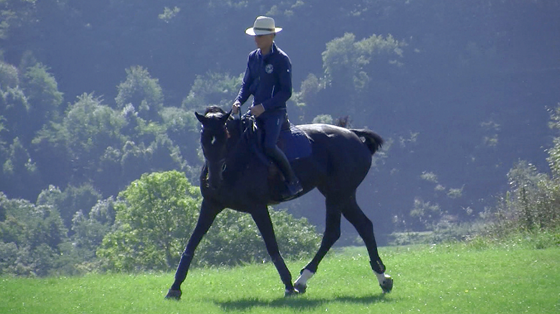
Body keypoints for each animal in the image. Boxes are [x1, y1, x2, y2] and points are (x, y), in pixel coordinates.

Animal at [165, 106, 394, 300]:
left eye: (225, 137)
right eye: (203, 138)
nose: (213, 180)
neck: (236, 160)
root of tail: (354, 135)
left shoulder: (258, 208)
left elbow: (272, 246)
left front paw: (288, 286)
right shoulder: (210, 205)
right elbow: (192, 243)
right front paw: (174, 288)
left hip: (338, 194)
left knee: (334, 232)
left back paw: (302, 280)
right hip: (341, 195)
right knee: (361, 226)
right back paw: (382, 279)